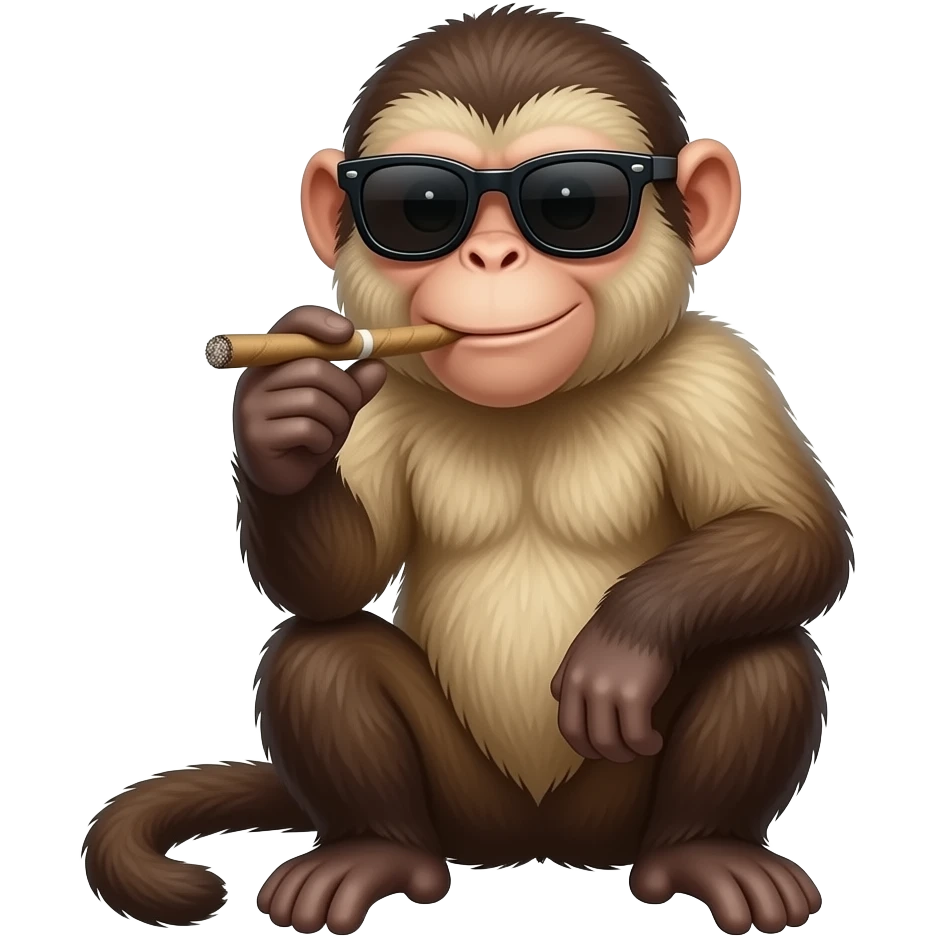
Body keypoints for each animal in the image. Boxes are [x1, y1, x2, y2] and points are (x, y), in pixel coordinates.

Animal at [82, 8, 852, 935]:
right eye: (419, 208)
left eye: (571, 204)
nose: (491, 260)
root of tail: (536, 845)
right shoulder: (381, 399)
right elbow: (335, 583)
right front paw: (282, 421)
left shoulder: (720, 373)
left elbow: (795, 533)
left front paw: (623, 642)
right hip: (463, 804)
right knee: (319, 652)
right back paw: (373, 850)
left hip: (614, 800)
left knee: (764, 646)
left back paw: (707, 851)